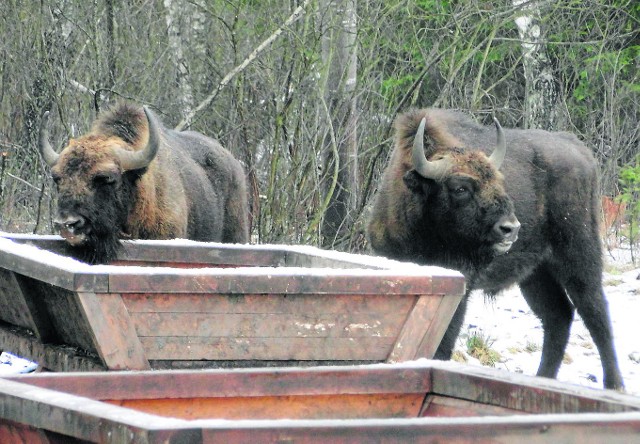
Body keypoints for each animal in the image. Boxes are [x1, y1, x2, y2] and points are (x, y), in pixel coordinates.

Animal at [368, 107, 624, 388]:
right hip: (535, 275)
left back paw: (614, 385)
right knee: (559, 316)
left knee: (596, 314)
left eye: (498, 181)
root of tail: (579, 149)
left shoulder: (461, 288)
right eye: (460, 188)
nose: (510, 227)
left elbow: (445, 341)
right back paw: (543, 378)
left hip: (579, 257)